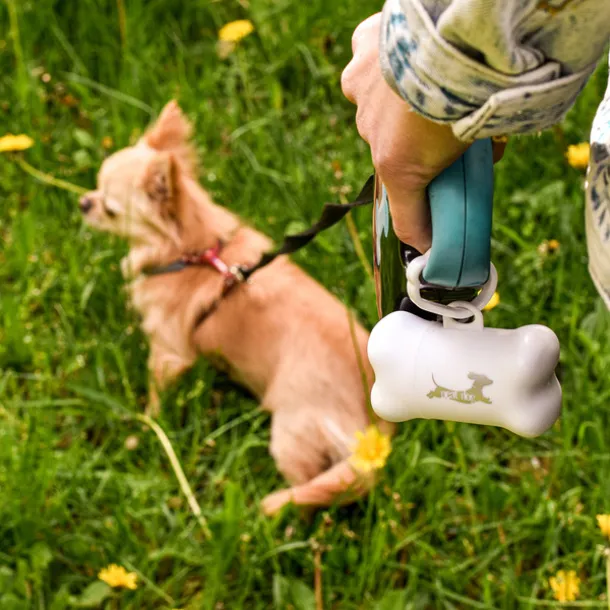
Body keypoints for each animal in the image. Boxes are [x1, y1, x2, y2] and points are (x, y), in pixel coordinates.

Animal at [78, 102, 390, 510]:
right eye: (95, 187)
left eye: (111, 209)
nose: (83, 202)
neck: (195, 250)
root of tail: (375, 422)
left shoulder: (168, 353)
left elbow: (155, 398)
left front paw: (147, 424)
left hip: (292, 433)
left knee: (312, 487)